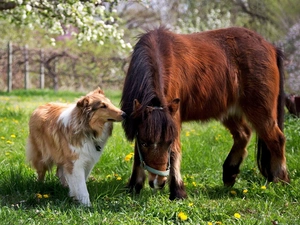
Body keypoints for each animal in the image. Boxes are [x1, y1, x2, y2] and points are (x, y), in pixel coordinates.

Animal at [120, 26, 290, 200]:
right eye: (145, 143)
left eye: (167, 142)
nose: (159, 182)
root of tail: (271, 47)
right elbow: (138, 155)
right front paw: (134, 186)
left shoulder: (174, 119)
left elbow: (174, 152)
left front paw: (178, 191)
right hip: (229, 111)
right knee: (244, 134)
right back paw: (230, 173)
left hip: (260, 110)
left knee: (276, 139)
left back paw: (281, 180)